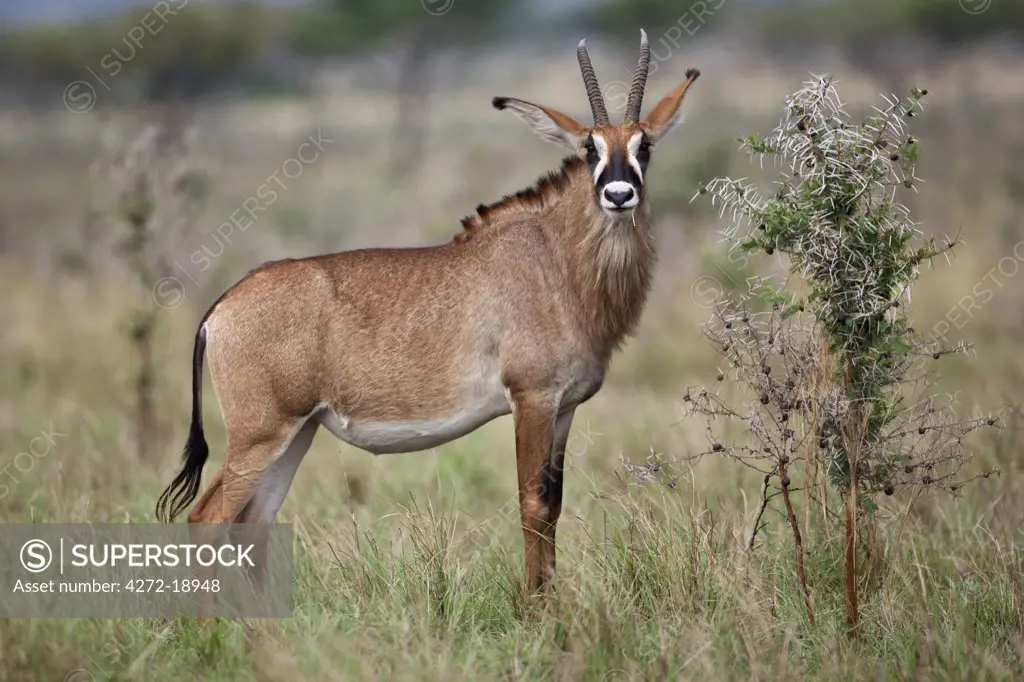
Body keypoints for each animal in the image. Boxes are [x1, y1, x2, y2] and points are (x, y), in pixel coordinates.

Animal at [155, 31, 700, 593]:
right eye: (589, 148)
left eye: (645, 146)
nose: (619, 194)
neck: (554, 259)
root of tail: (221, 308)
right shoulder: (532, 398)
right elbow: (533, 505)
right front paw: (538, 608)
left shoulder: (564, 408)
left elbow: (552, 508)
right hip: (260, 434)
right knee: (207, 519)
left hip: (295, 434)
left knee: (253, 524)